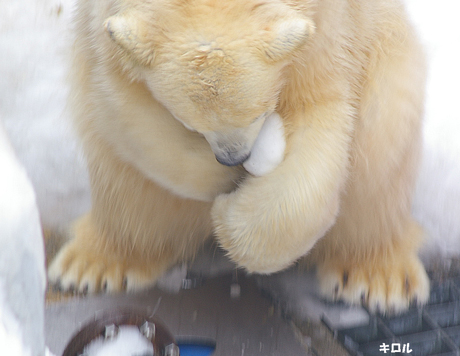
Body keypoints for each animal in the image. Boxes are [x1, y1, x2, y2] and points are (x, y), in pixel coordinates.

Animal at [48, 0, 430, 312]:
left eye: (259, 112)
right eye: (189, 122)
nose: (232, 158)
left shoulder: (329, 32)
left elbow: (321, 108)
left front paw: (228, 219)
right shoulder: (105, 32)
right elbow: (126, 105)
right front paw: (224, 187)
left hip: (386, 58)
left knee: (376, 159)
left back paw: (376, 279)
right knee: (129, 191)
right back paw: (94, 266)